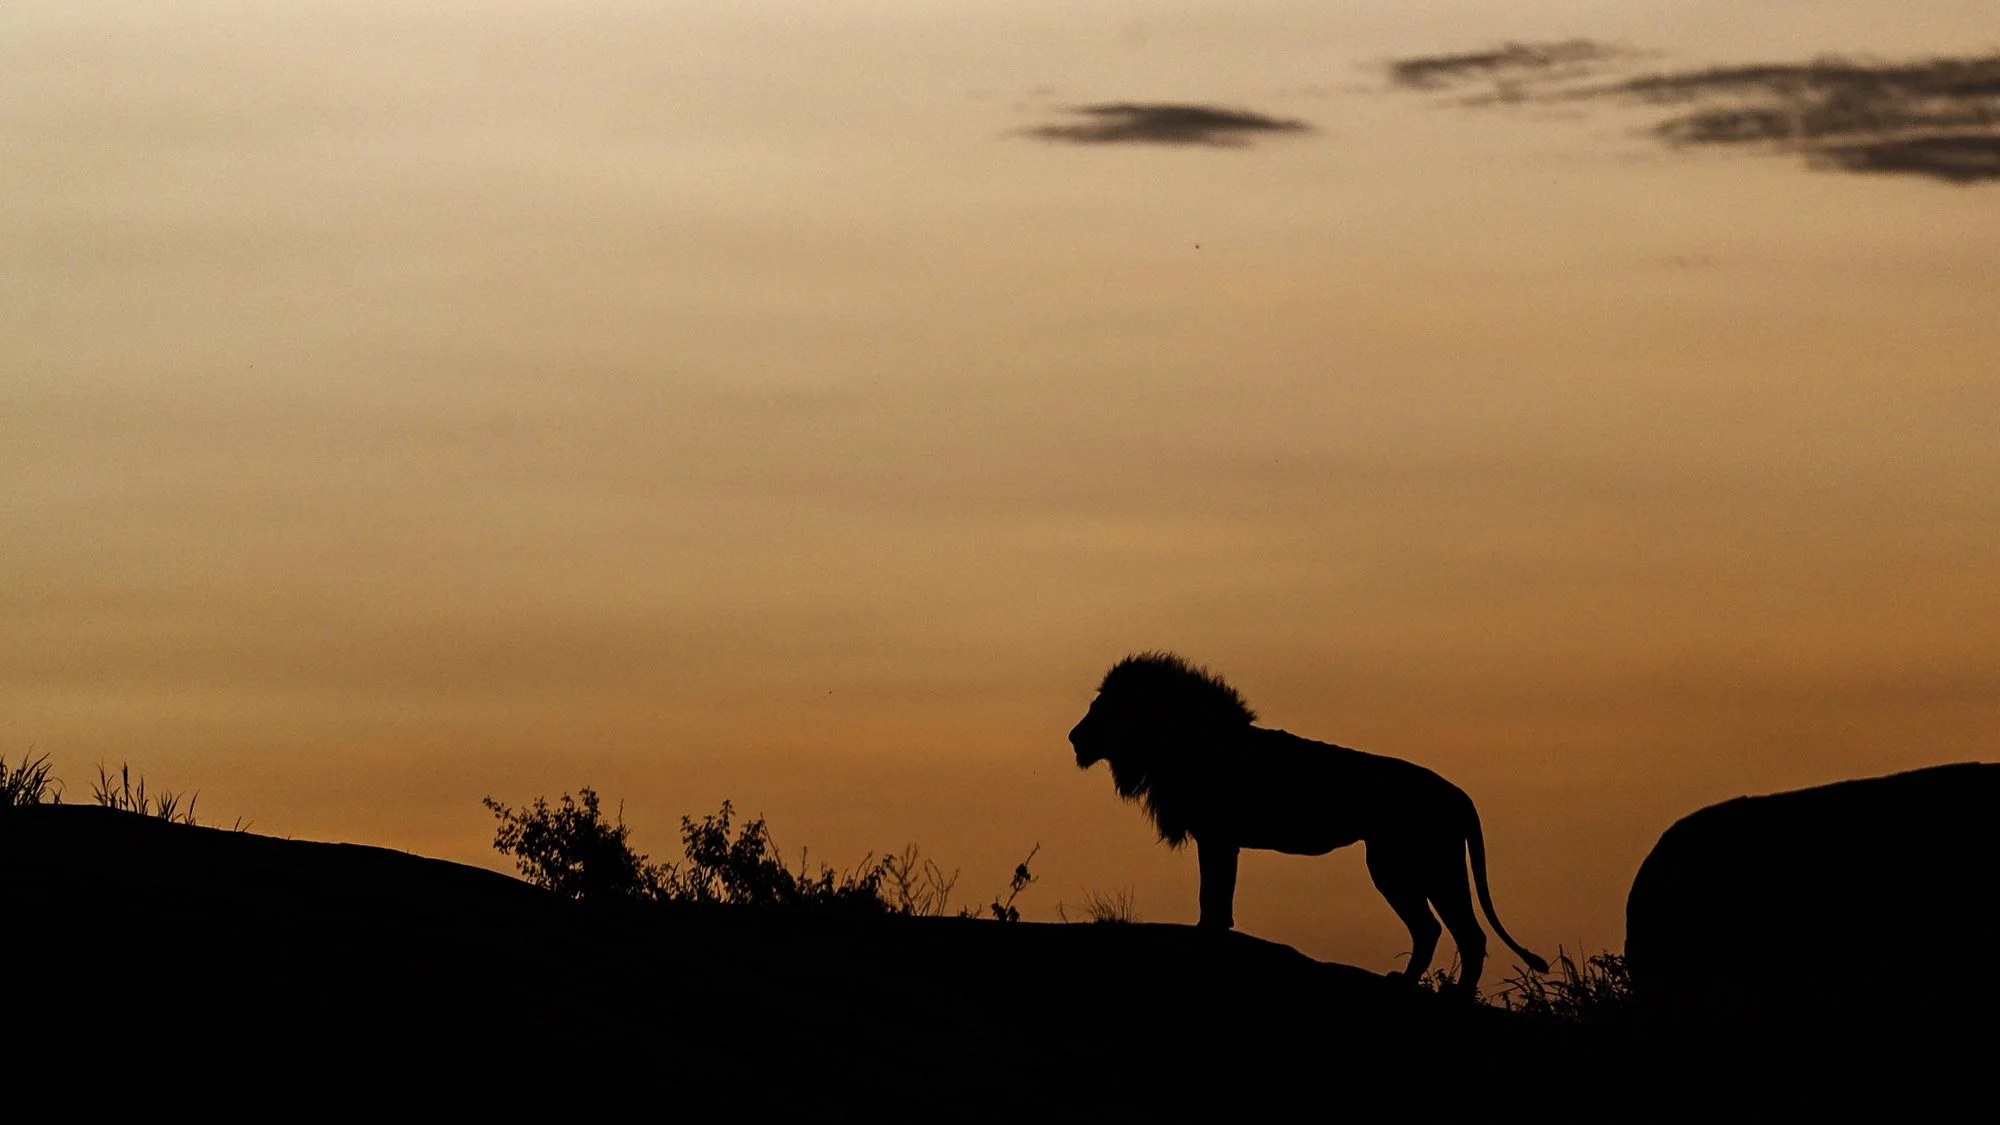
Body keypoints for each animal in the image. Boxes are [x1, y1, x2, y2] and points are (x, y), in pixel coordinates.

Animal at [1068, 652, 1548, 994]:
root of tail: (1458, 793)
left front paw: (1207, 938)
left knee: (1469, 935)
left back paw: (1455, 997)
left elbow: (1212, 895)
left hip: (1422, 865)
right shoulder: (1219, 838)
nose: (1073, 737)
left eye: (1101, 708)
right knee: (1432, 930)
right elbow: (1217, 896)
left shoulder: (1218, 836)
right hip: (1402, 866)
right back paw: (1406, 983)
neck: (1181, 743)